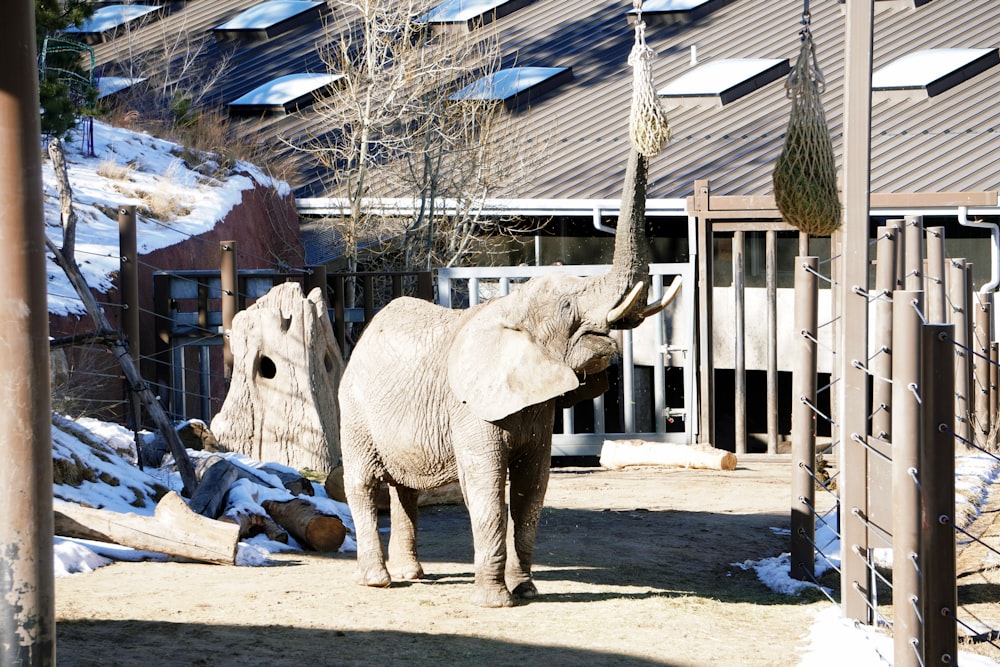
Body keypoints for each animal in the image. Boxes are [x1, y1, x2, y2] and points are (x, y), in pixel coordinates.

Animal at [338, 149, 680, 608]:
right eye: (567, 306)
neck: (510, 305)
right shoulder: (470, 408)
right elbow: (487, 489)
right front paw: (496, 602)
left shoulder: (537, 408)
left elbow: (531, 490)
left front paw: (527, 590)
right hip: (355, 409)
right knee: (363, 484)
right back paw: (377, 581)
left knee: (405, 489)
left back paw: (413, 574)